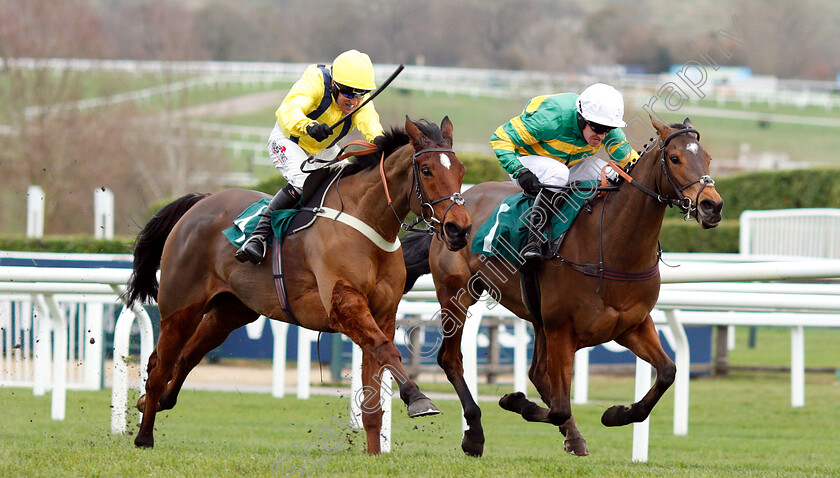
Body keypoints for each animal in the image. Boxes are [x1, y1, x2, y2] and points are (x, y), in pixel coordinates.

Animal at [123, 116, 472, 456]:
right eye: (426, 170)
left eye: (460, 170)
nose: (459, 229)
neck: (366, 221)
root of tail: (202, 200)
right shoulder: (344, 306)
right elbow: (388, 350)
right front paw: (417, 398)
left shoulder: (382, 315)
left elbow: (375, 393)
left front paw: (374, 453)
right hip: (181, 306)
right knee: (159, 368)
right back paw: (144, 436)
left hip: (230, 312)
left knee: (184, 358)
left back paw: (150, 405)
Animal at [400, 116, 720, 456]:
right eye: (675, 158)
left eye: (707, 157)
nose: (712, 206)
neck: (611, 246)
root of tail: (449, 210)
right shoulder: (562, 329)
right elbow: (559, 406)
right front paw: (515, 401)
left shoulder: (632, 325)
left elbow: (668, 372)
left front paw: (617, 414)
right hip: (457, 295)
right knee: (451, 359)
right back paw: (475, 434)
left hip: (537, 315)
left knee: (537, 373)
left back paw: (573, 435)